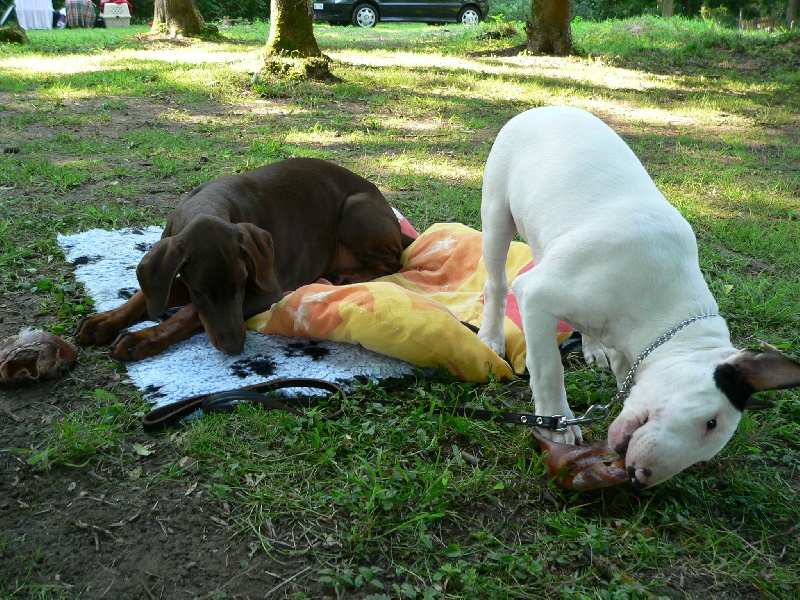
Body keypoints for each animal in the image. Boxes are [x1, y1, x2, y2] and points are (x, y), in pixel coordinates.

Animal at [75, 157, 412, 358]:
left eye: (240, 286)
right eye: (201, 291)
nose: (235, 347)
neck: (207, 207)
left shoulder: (266, 290)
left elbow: (188, 315)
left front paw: (143, 339)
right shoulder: (177, 274)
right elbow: (144, 297)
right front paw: (104, 321)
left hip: (355, 210)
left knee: (395, 261)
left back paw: (347, 275)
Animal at [478, 106, 796, 488]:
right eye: (711, 422)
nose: (640, 478)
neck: (663, 314)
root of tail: (547, 107)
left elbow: (619, 367)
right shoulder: (536, 295)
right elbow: (547, 369)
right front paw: (557, 424)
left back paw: (592, 349)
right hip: (498, 215)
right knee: (496, 283)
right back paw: (491, 338)